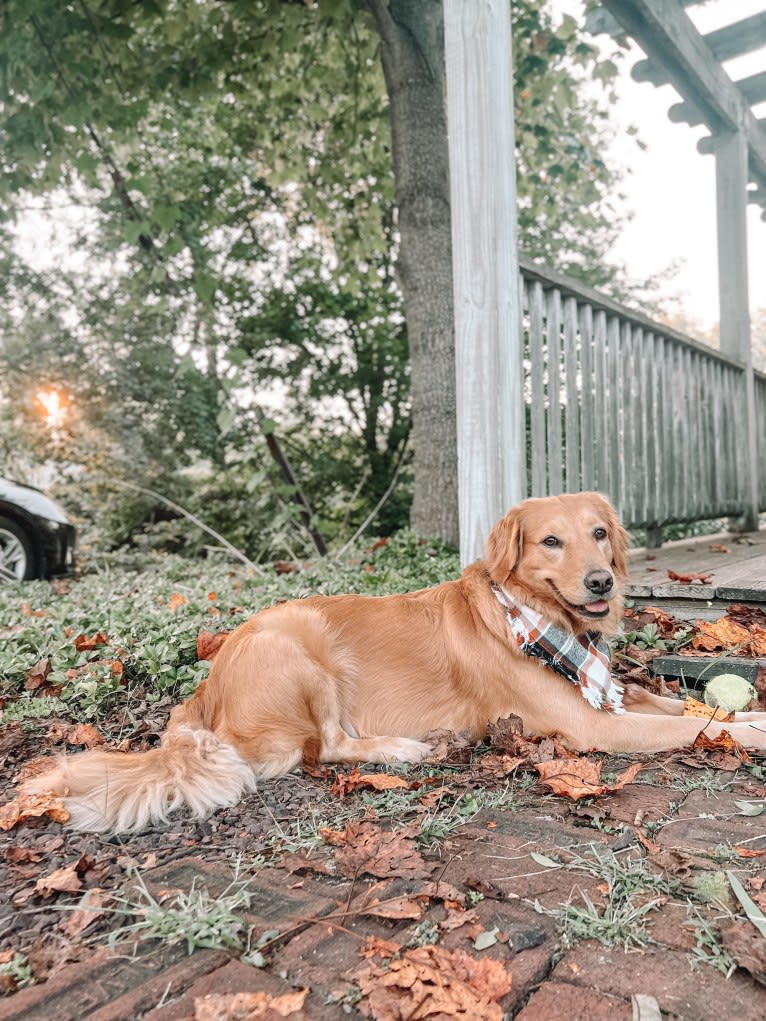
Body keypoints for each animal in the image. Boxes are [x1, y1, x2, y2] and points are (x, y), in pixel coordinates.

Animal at [24, 490, 766, 833]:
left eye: (599, 533)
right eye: (551, 542)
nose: (602, 581)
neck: (537, 619)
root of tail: (206, 690)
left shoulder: (615, 694)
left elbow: (682, 704)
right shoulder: (592, 725)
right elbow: (692, 724)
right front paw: (751, 729)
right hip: (302, 645)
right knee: (325, 747)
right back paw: (406, 750)